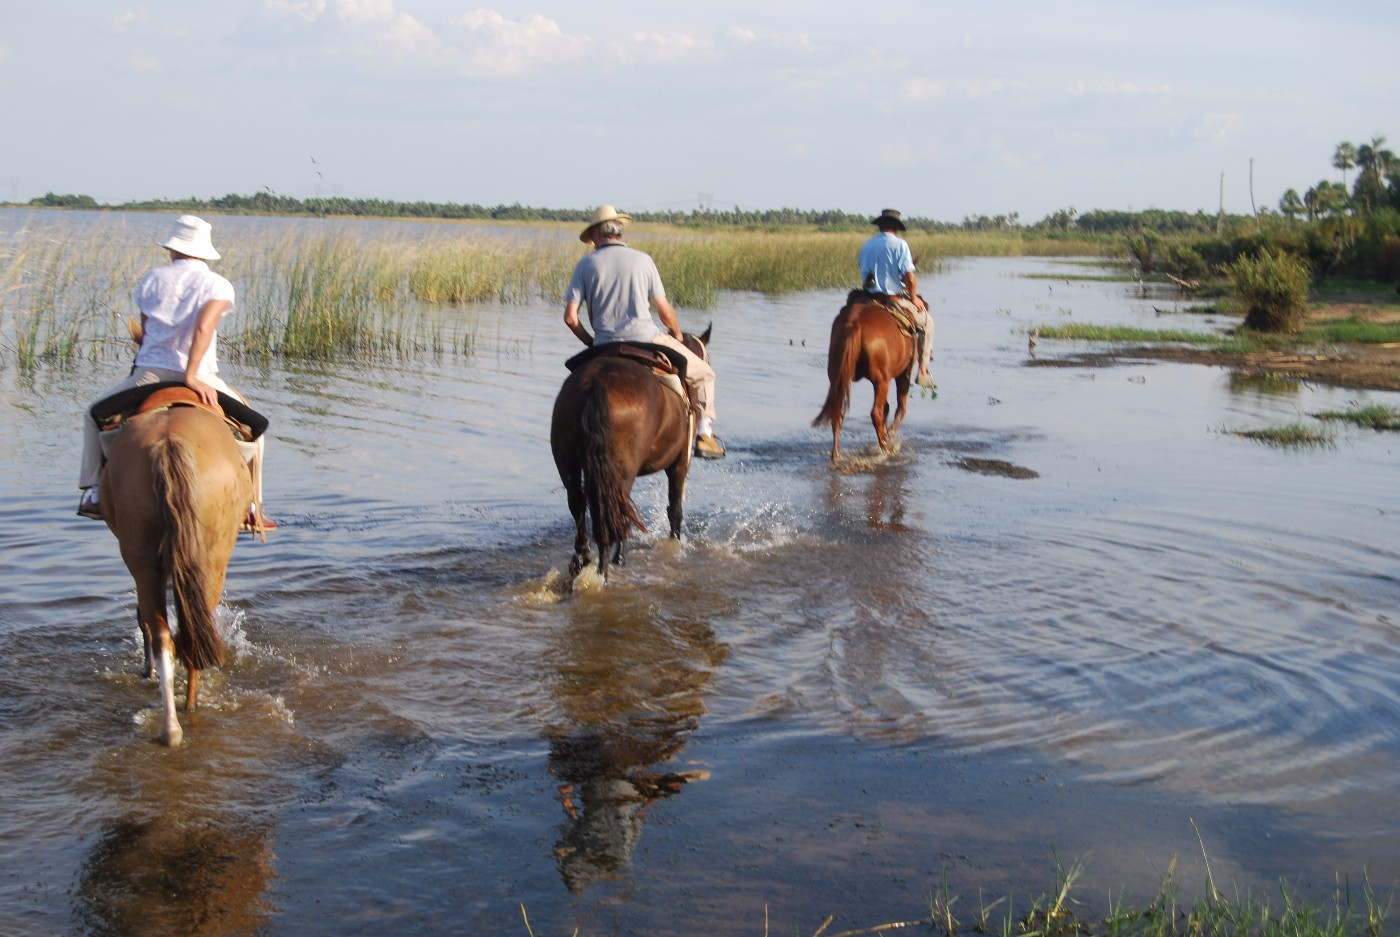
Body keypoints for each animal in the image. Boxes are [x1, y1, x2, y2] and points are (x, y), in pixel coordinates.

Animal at [99, 394, 252, 745]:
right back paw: (183, 714)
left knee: (165, 634)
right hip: (209, 560)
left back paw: (172, 725)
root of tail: (170, 441)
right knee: (186, 632)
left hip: (144, 559)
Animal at [551, 329, 711, 577]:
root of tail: (595, 384)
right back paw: (608, 565)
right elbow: (675, 509)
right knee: (615, 507)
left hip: (568, 460)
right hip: (622, 469)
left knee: (579, 501)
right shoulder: (679, 464)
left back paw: (582, 560)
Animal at [812, 288, 918, 456]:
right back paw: (885, 448)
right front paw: (889, 435)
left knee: (838, 411)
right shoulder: (904, 373)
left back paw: (836, 454)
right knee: (877, 412)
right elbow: (900, 409)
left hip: (837, 377)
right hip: (881, 380)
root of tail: (854, 324)